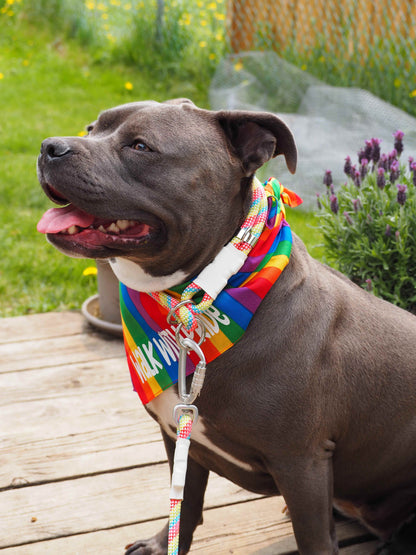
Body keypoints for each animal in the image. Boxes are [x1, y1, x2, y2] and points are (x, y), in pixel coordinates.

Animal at [36, 97, 416, 552]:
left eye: (141, 146)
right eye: (92, 128)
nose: (49, 146)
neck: (199, 300)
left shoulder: (302, 463)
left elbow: (314, 539)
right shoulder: (180, 436)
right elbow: (184, 502)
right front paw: (165, 543)